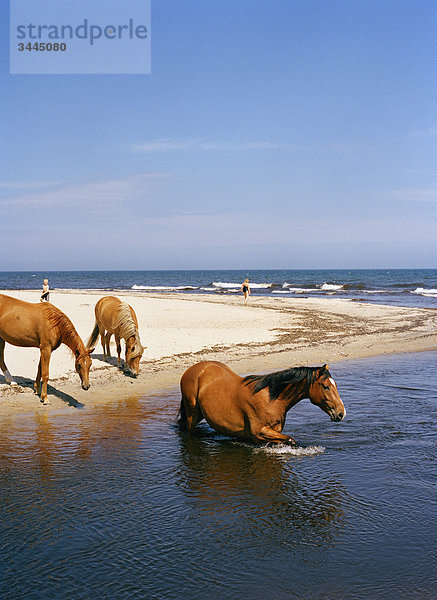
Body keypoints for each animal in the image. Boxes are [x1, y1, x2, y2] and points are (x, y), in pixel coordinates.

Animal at [179, 360, 346, 446]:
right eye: (326, 386)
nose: (341, 413)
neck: (272, 399)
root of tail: (193, 369)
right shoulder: (260, 431)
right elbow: (291, 440)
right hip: (192, 413)